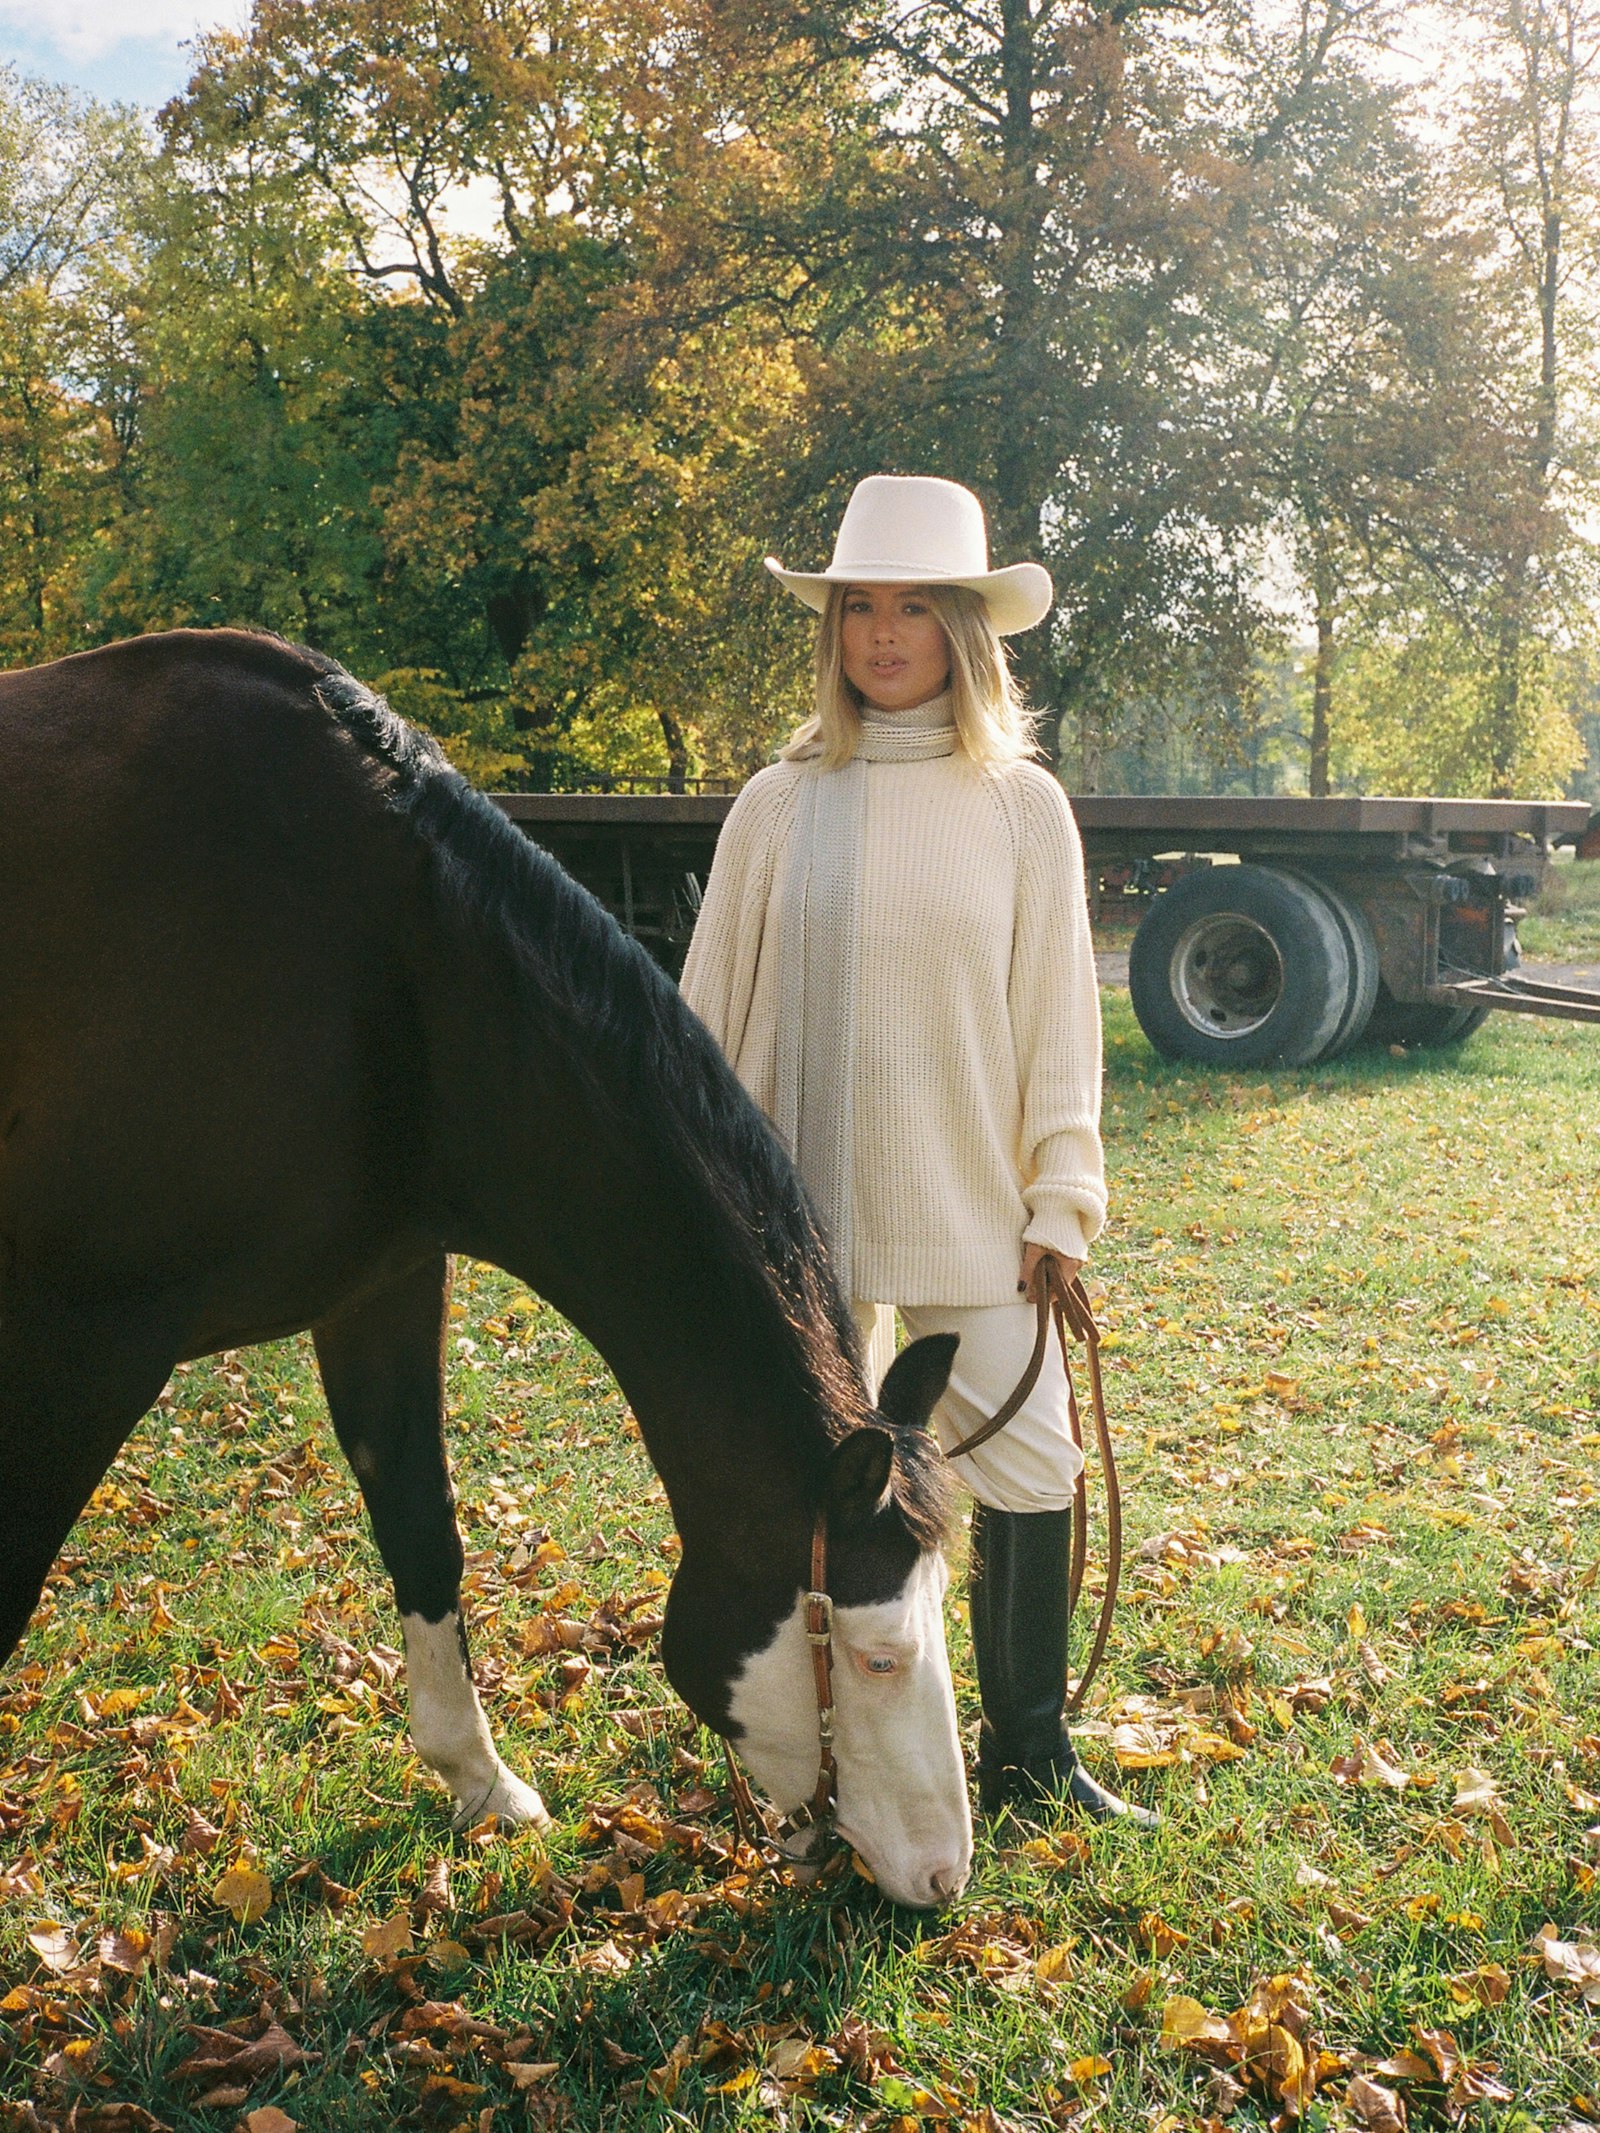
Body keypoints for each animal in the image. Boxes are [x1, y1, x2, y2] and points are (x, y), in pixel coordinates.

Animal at [0, 622, 977, 1911]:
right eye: (874, 1657)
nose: (945, 1876)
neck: (383, 963)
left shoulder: (381, 1288)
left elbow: (423, 1527)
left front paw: (477, 1780)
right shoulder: (78, 1339)